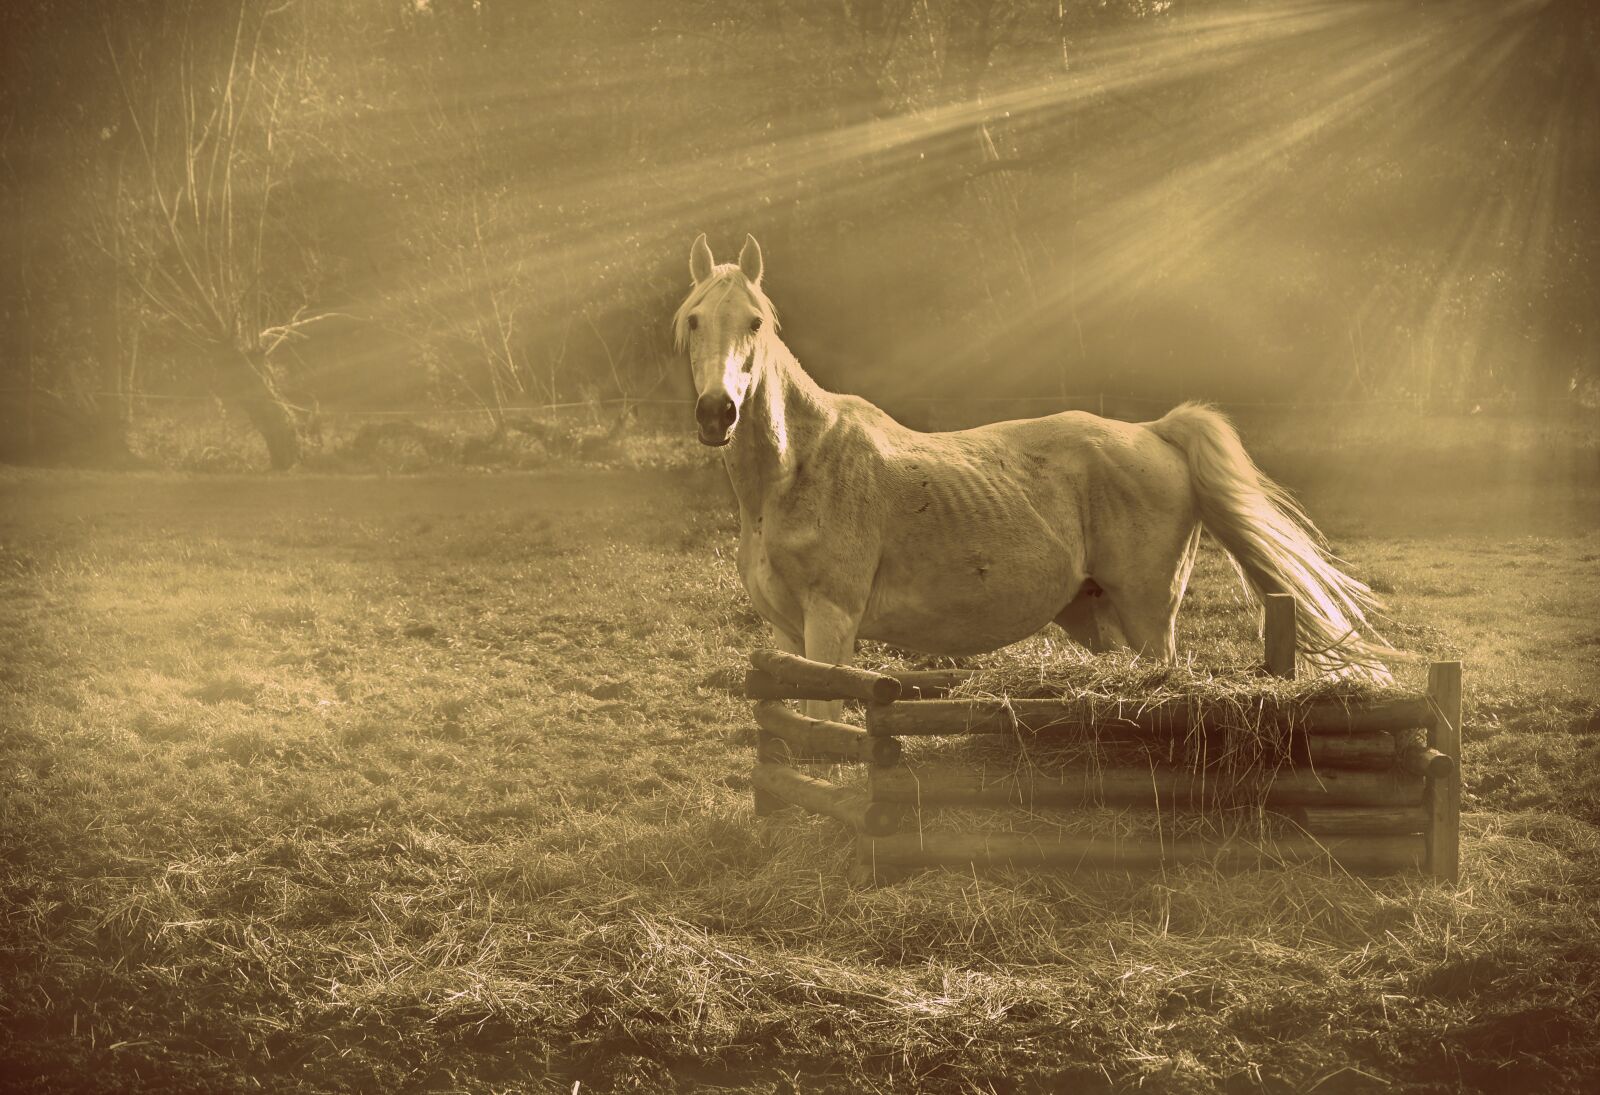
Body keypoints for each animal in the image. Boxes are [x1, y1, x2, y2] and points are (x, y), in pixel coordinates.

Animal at [675, 233, 1391, 719]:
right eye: (694, 320)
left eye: (755, 322)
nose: (716, 411)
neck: (798, 470)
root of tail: (1155, 432)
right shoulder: (786, 632)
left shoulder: (832, 624)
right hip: (1103, 618)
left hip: (1148, 615)